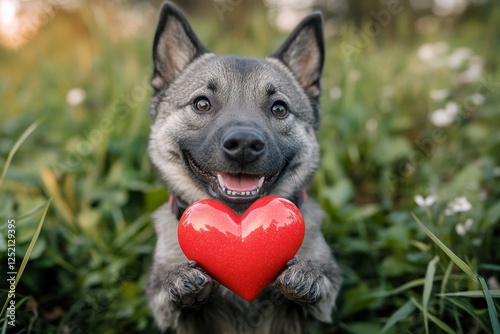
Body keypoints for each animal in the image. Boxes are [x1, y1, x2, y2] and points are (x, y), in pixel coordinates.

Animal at [145, 1, 340, 332]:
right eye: (202, 103)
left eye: (279, 108)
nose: (244, 143)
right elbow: (166, 292)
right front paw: (179, 279)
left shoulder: (321, 306)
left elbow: (322, 281)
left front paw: (307, 273)